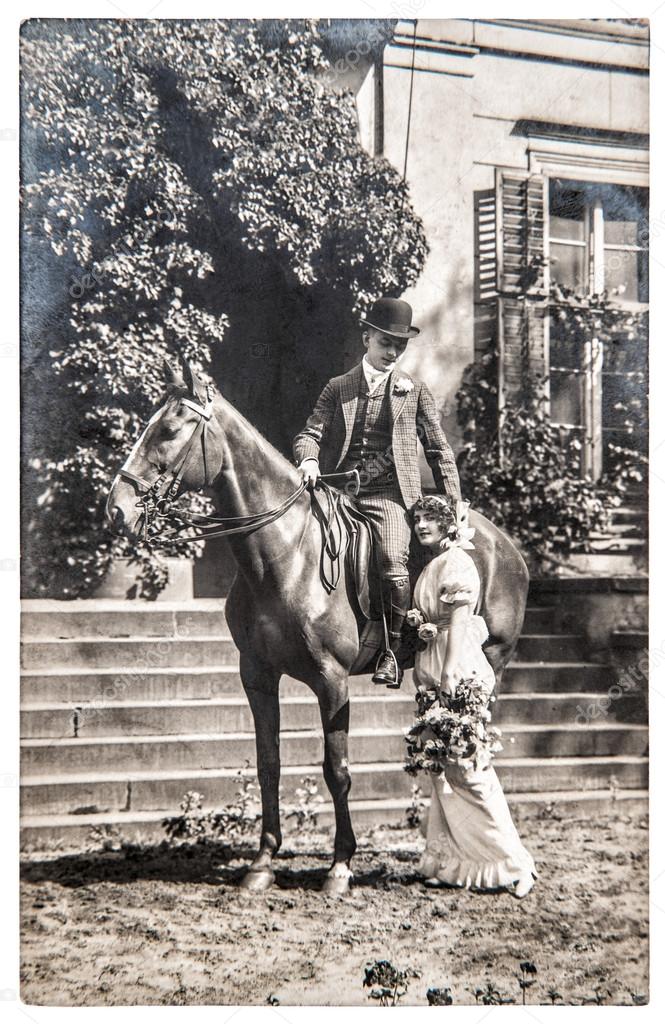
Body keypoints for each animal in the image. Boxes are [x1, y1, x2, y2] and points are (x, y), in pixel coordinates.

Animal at [105, 362, 528, 897]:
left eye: (169, 430)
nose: (117, 508)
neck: (285, 554)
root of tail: (503, 544)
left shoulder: (331, 680)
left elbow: (337, 770)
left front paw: (340, 866)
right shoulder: (257, 676)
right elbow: (268, 764)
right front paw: (262, 863)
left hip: (490, 665)